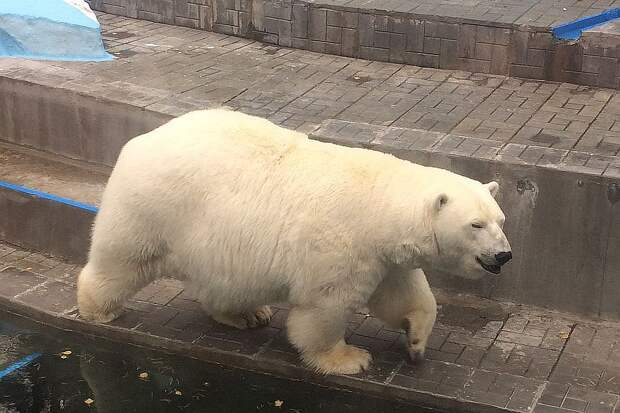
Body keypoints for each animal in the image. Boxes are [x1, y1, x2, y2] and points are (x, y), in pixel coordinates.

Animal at [77, 108, 512, 374]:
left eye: (500, 219)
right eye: (475, 224)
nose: (503, 255)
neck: (380, 204)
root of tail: (140, 141)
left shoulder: (383, 258)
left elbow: (405, 295)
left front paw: (417, 343)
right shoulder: (342, 247)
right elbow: (324, 309)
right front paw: (349, 358)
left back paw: (248, 314)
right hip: (154, 209)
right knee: (123, 259)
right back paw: (99, 309)